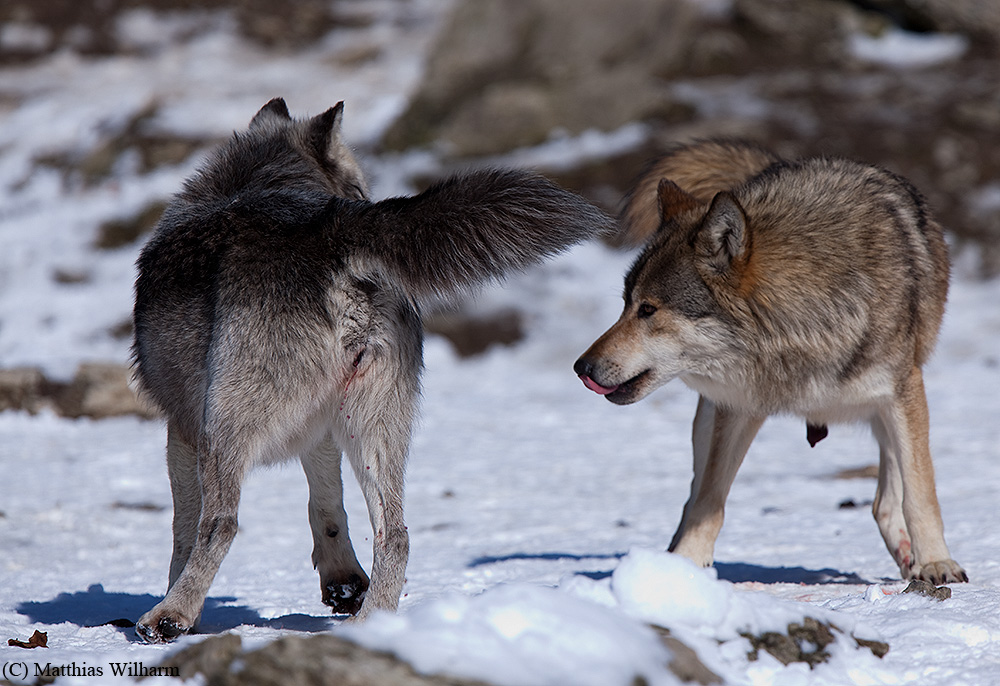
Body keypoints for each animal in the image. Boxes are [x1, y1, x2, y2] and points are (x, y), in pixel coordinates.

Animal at [132, 98, 612, 644]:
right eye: (362, 187)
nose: (363, 199)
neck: (257, 181)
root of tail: (335, 231)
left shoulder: (180, 428)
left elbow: (183, 531)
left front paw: (175, 601)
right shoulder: (320, 433)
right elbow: (327, 508)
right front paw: (343, 582)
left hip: (227, 430)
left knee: (223, 524)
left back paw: (168, 617)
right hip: (374, 433)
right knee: (396, 534)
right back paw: (371, 625)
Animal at [576, 138, 964, 584]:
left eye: (648, 310)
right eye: (625, 304)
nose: (581, 367)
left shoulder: (903, 393)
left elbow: (920, 493)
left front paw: (936, 561)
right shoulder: (736, 409)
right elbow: (709, 502)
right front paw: (684, 571)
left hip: (888, 409)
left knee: (885, 499)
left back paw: (909, 557)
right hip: (707, 419)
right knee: (692, 496)